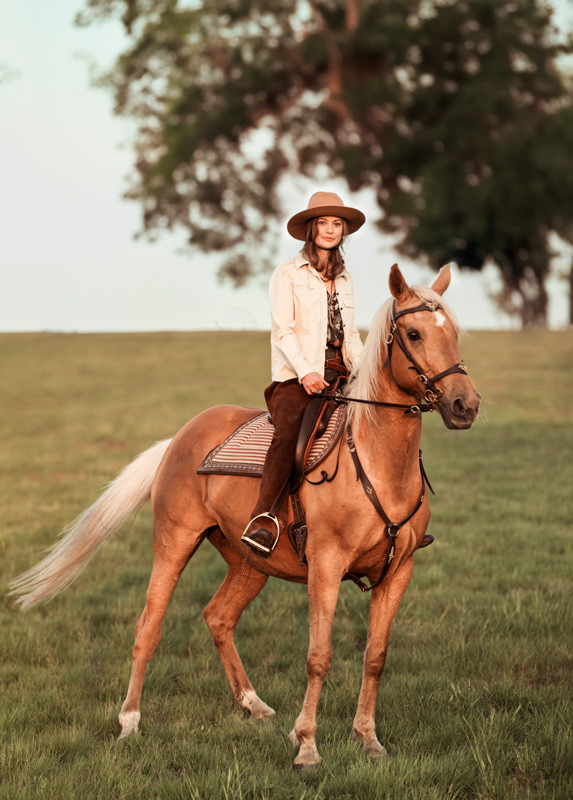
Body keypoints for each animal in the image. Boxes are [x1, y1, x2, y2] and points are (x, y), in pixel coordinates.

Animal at [10, 264, 481, 771]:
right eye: (413, 333)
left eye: (454, 332)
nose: (465, 405)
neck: (375, 462)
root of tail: (178, 438)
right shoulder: (326, 568)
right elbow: (319, 656)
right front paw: (307, 746)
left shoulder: (398, 571)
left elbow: (375, 656)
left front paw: (368, 739)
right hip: (174, 543)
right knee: (148, 627)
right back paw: (130, 721)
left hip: (250, 561)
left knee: (218, 617)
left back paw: (253, 704)